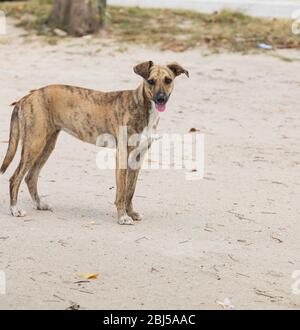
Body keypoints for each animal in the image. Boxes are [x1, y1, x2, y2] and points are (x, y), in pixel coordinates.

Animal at [0, 61, 188, 226]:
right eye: (151, 81)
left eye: (168, 80)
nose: (161, 99)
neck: (142, 106)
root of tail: (27, 96)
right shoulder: (122, 155)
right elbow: (121, 192)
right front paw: (123, 217)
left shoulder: (137, 157)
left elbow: (130, 190)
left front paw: (131, 213)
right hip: (34, 144)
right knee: (15, 178)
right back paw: (14, 209)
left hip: (47, 146)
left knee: (30, 177)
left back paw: (39, 204)